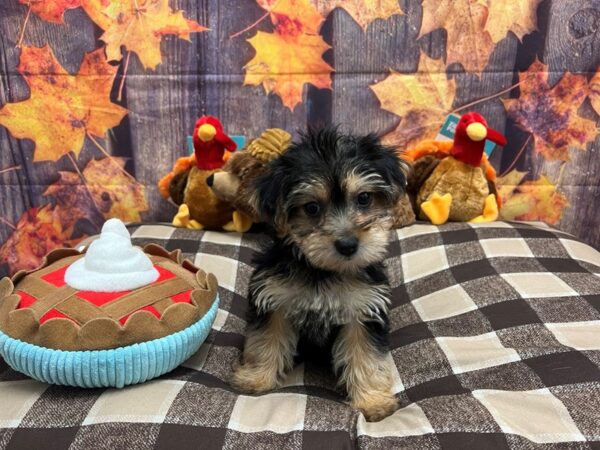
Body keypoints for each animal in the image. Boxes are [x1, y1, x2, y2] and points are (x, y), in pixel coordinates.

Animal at [230, 127, 408, 422]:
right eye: (311, 208)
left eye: (364, 198)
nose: (348, 245)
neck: (322, 270)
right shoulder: (274, 297)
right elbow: (265, 339)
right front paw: (256, 379)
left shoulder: (363, 308)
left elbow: (365, 354)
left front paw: (373, 401)